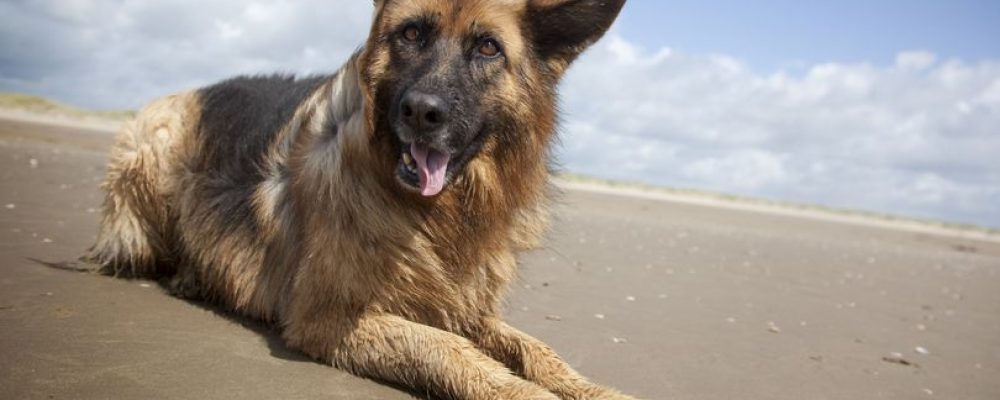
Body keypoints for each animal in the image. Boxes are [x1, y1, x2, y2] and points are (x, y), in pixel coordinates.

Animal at [87, 1, 632, 399]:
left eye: (488, 48)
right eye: (410, 34)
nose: (422, 112)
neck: (437, 215)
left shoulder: (465, 306)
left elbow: (538, 349)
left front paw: (597, 390)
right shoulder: (328, 318)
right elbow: (447, 350)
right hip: (150, 141)